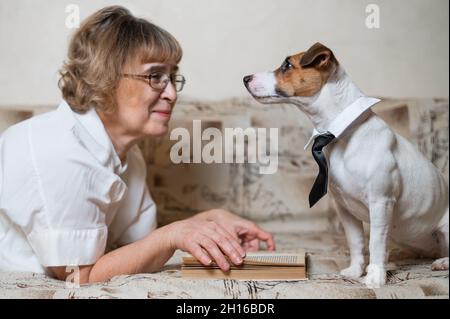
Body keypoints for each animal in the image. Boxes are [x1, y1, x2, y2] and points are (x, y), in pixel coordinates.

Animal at [244, 41, 448, 288]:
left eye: (287, 65)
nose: (245, 78)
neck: (342, 134)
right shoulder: (345, 209)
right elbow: (356, 241)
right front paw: (356, 270)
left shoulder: (381, 202)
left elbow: (375, 242)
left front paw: (374, 277)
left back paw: (442, 262)